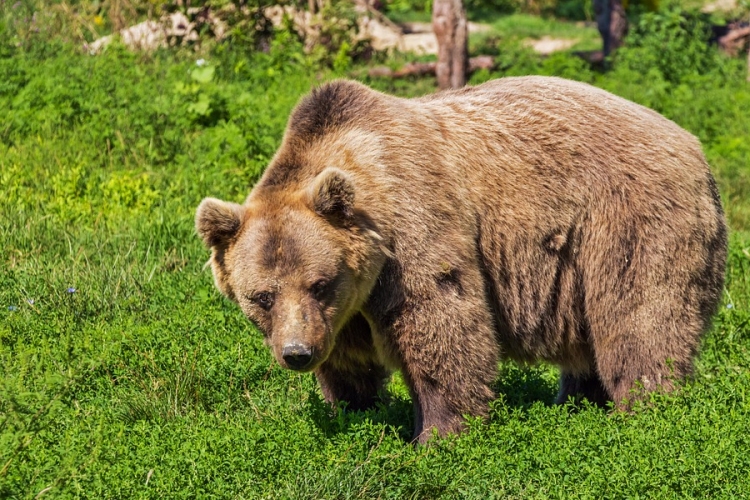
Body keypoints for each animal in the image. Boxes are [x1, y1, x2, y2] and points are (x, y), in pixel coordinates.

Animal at [195, 76, 728, 444]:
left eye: (319, 282)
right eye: (261, 296)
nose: (297, 353)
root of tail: (695, 146)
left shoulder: (413, 230)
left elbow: (442, 324)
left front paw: (437, 434)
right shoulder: (344, 309)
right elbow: (349, 361)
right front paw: (355, 410)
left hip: (627, 222)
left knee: (640, 320)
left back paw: (645, 410)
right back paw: (576, 402)